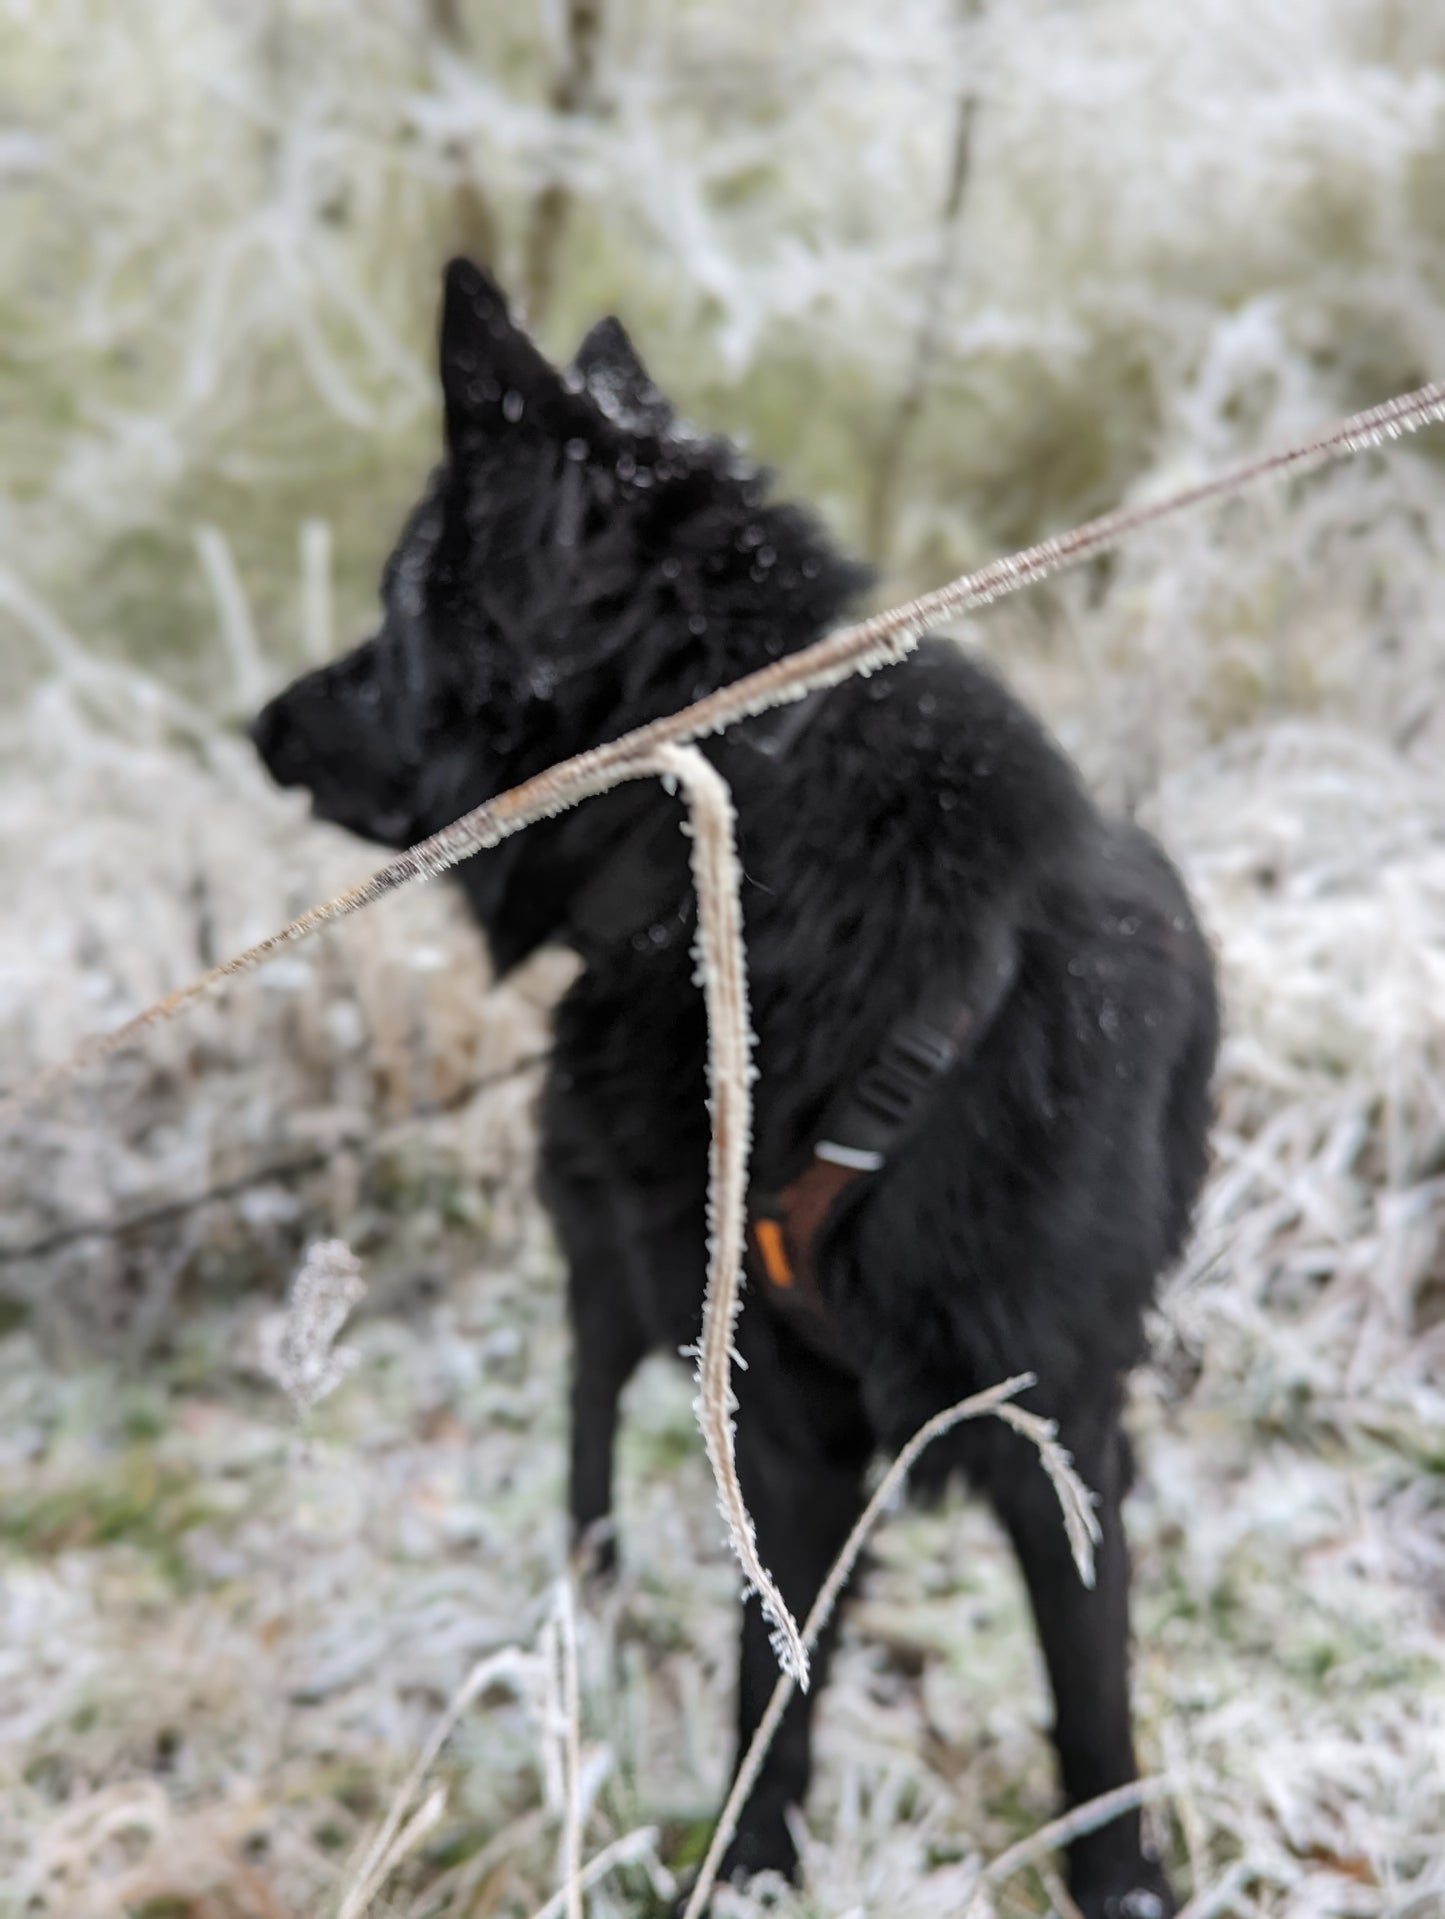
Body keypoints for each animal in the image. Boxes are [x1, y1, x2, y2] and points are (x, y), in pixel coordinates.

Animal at [253, 262, 1212, 1911]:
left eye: (387, 609)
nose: (258, 723)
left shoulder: (1057, 1420)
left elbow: (1088, 1695)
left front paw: (1121, 1879)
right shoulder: (781, 1420)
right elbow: (775, 1678)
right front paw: (752, 1860)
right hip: (618, 1257)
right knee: (588, 1412)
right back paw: (589, 1589)